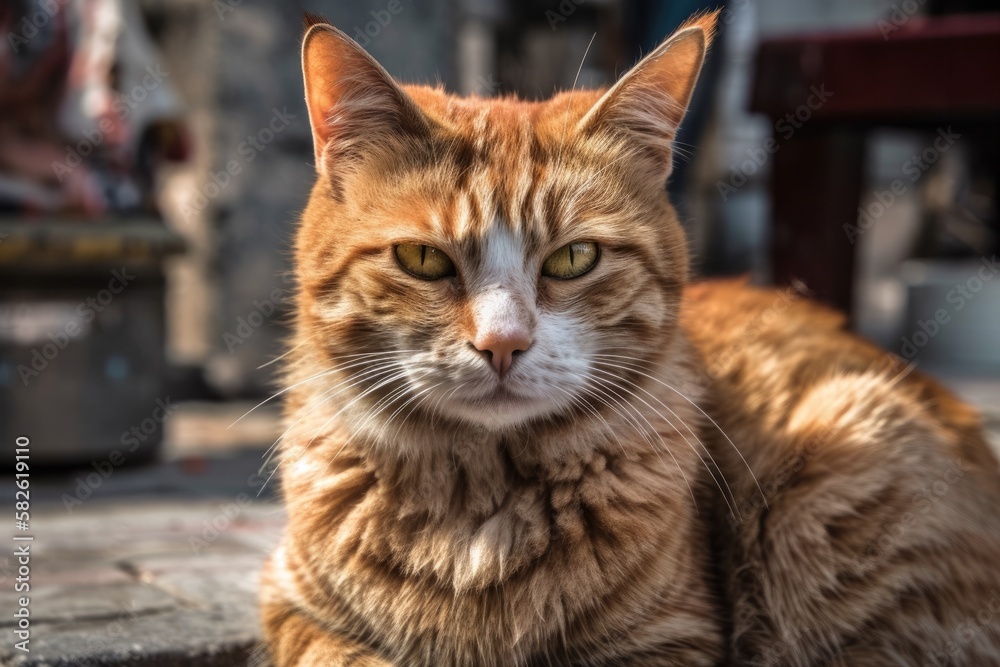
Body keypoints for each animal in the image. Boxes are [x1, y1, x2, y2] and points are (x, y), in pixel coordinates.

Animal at [260, 10, 1000, 667]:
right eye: (422, 259)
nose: (502, 343)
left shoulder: (672, 639)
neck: (478, 507)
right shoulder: (292, 604)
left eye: (573, 258)